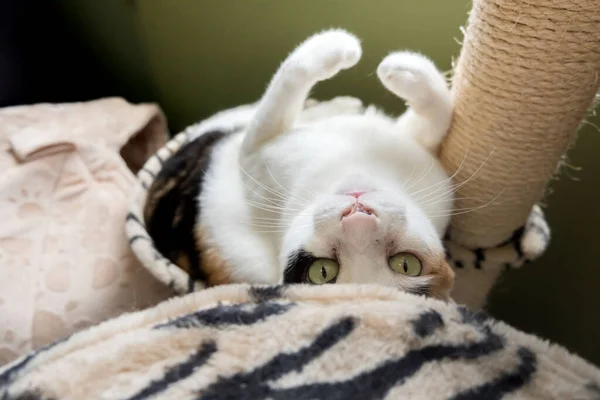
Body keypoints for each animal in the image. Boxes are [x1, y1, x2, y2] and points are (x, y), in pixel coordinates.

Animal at [145, 28, 454, 300]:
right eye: (322, 271)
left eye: (406, 264)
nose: (358, 217)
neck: (352, 169)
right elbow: (442, 113)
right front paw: (390, 65)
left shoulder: (254, 150)